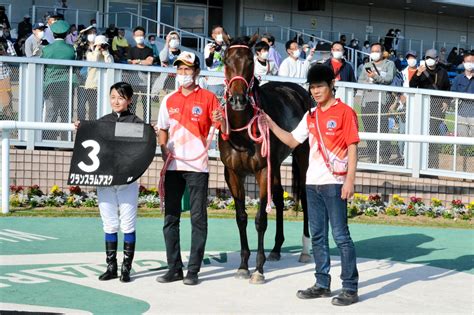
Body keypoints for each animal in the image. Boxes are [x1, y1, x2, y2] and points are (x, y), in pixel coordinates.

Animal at [219, 35, 314, 286]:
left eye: (250, 62)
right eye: (226, 60)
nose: (238, 100)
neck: (242, 133)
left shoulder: (262, 171)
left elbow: (260, 219)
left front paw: (258, 270)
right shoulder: (233, 173)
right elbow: (241, 217)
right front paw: (243, 266)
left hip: (302, 156)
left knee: (306, 198)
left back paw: (305, 250)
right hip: (277, 164)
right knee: (279, 197)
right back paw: (277, 249)